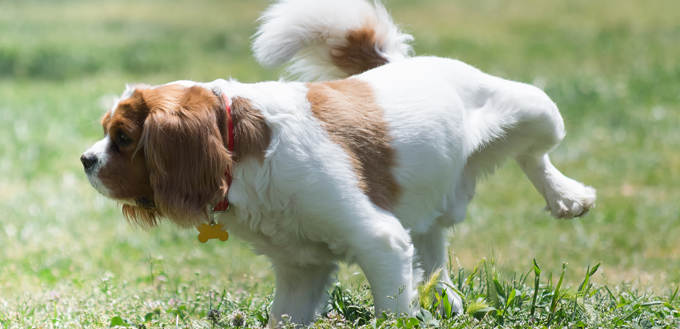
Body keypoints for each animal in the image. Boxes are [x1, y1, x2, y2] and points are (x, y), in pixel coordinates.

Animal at [81, 0, 596, 322]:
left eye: (122, 138)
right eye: (107, 132)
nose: (85, 159)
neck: (242, 154)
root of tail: (393, 65)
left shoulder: (380, 242)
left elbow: (392, 311)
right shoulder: (299, 271)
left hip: (536, 109)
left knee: (535, 154)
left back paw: (567, 196)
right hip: (427, 205)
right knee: (433, 252)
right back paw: (445, 298)